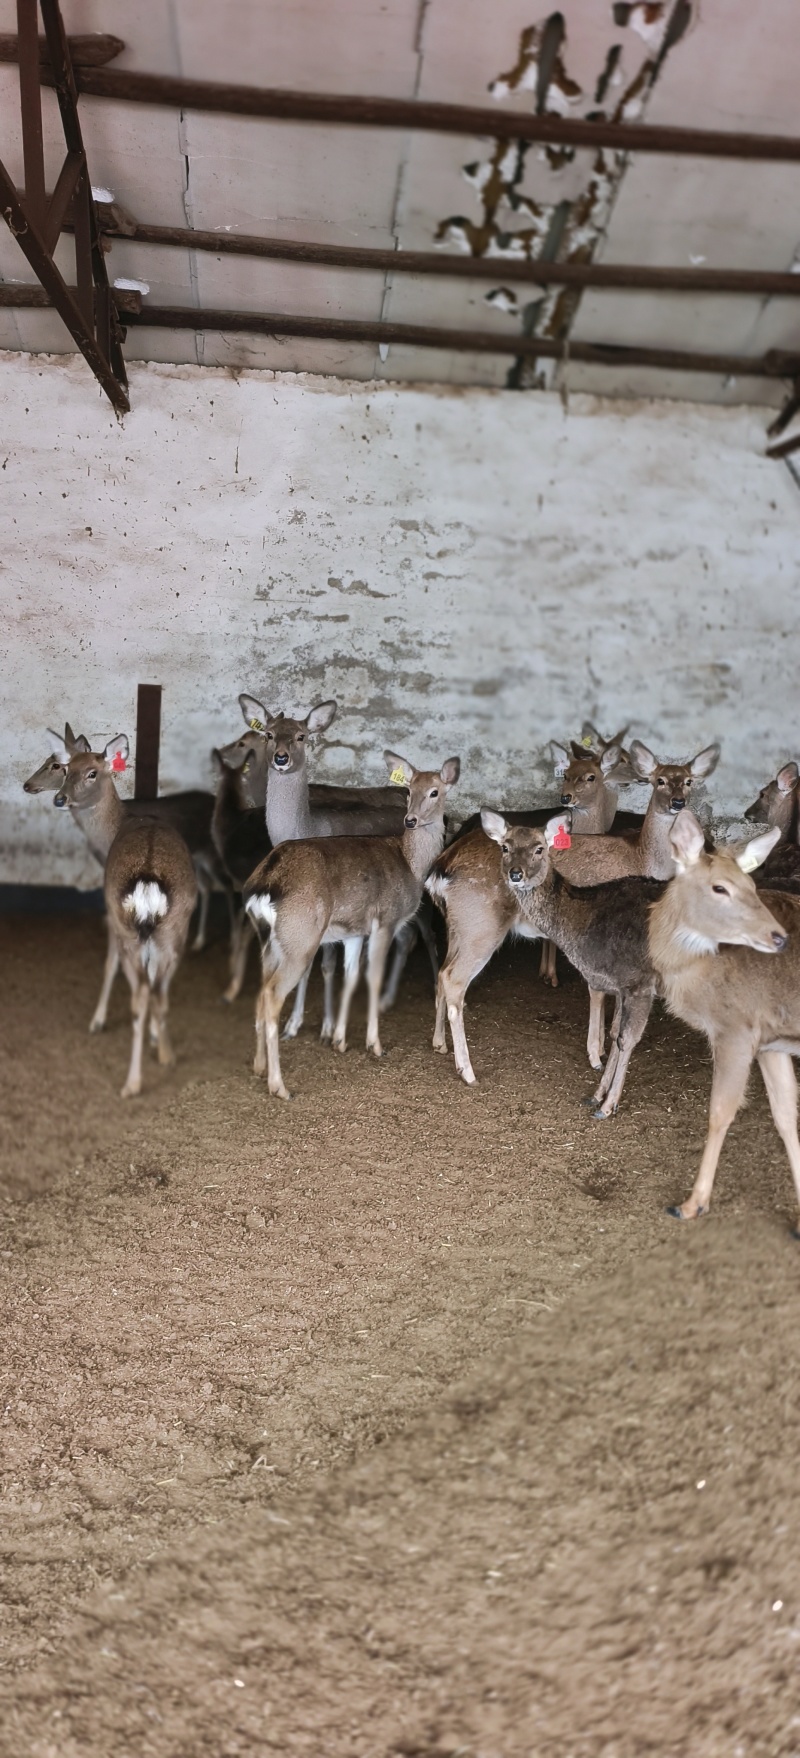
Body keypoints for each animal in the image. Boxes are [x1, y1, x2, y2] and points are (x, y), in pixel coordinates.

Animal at [53, 738, 197, 1095]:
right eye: (65, 768)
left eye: (92, 772)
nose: (60, 798)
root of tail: (147, 884)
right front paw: (157, 1039)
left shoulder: (114, 919)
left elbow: (110, 965)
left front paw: (98, 1021)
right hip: (171, 930)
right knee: (157, 991)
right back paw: (162, 1058)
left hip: (130, 930)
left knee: (141, 992)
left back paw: (133, 1081)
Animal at [243, 752, 460, 1099]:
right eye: (409, 791)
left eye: (434, 791)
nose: (410, 820)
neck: (411, 865)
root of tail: (263, 883)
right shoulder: (385, 920)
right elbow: (372, 977)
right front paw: (375, 1044)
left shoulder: (354, 931)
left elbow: (352, 975)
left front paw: (340, 1040)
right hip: (299, 937)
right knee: (273, 996)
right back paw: (279, 1086)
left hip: (269, 941)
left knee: (260, 992)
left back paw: (259, 1066)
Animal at [648, 809, 799, 1230]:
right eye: (720, 888)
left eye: (752, 885)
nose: (778, 937)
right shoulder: (770, 1043)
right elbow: (785, 1115)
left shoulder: (736, 1028)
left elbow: (720, 1110)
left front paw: (692, 1203)